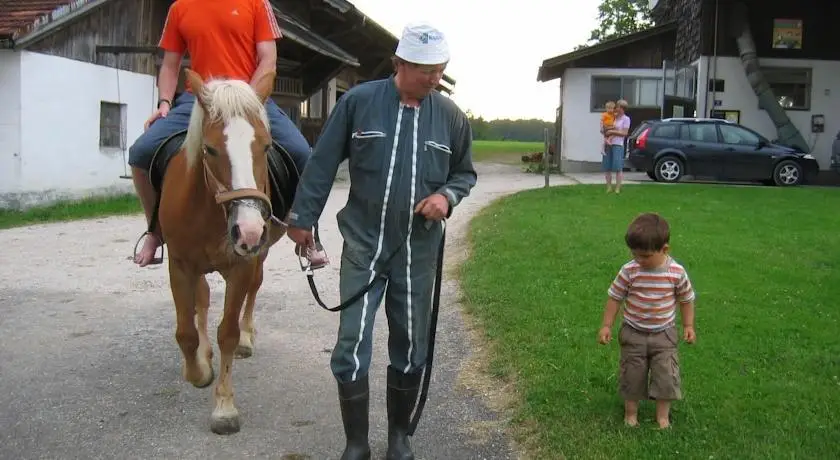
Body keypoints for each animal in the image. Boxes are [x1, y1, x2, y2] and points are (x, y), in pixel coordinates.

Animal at [156, 69, 290, 434]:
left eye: (266, 146)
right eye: (210, 149)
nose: (249, 230)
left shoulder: (243, 265)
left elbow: (227, 332)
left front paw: (225, 408)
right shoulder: (180, 265)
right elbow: (186, 332)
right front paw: (199, 370)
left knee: (253, 290)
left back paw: (246, 337)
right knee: (201, 299)